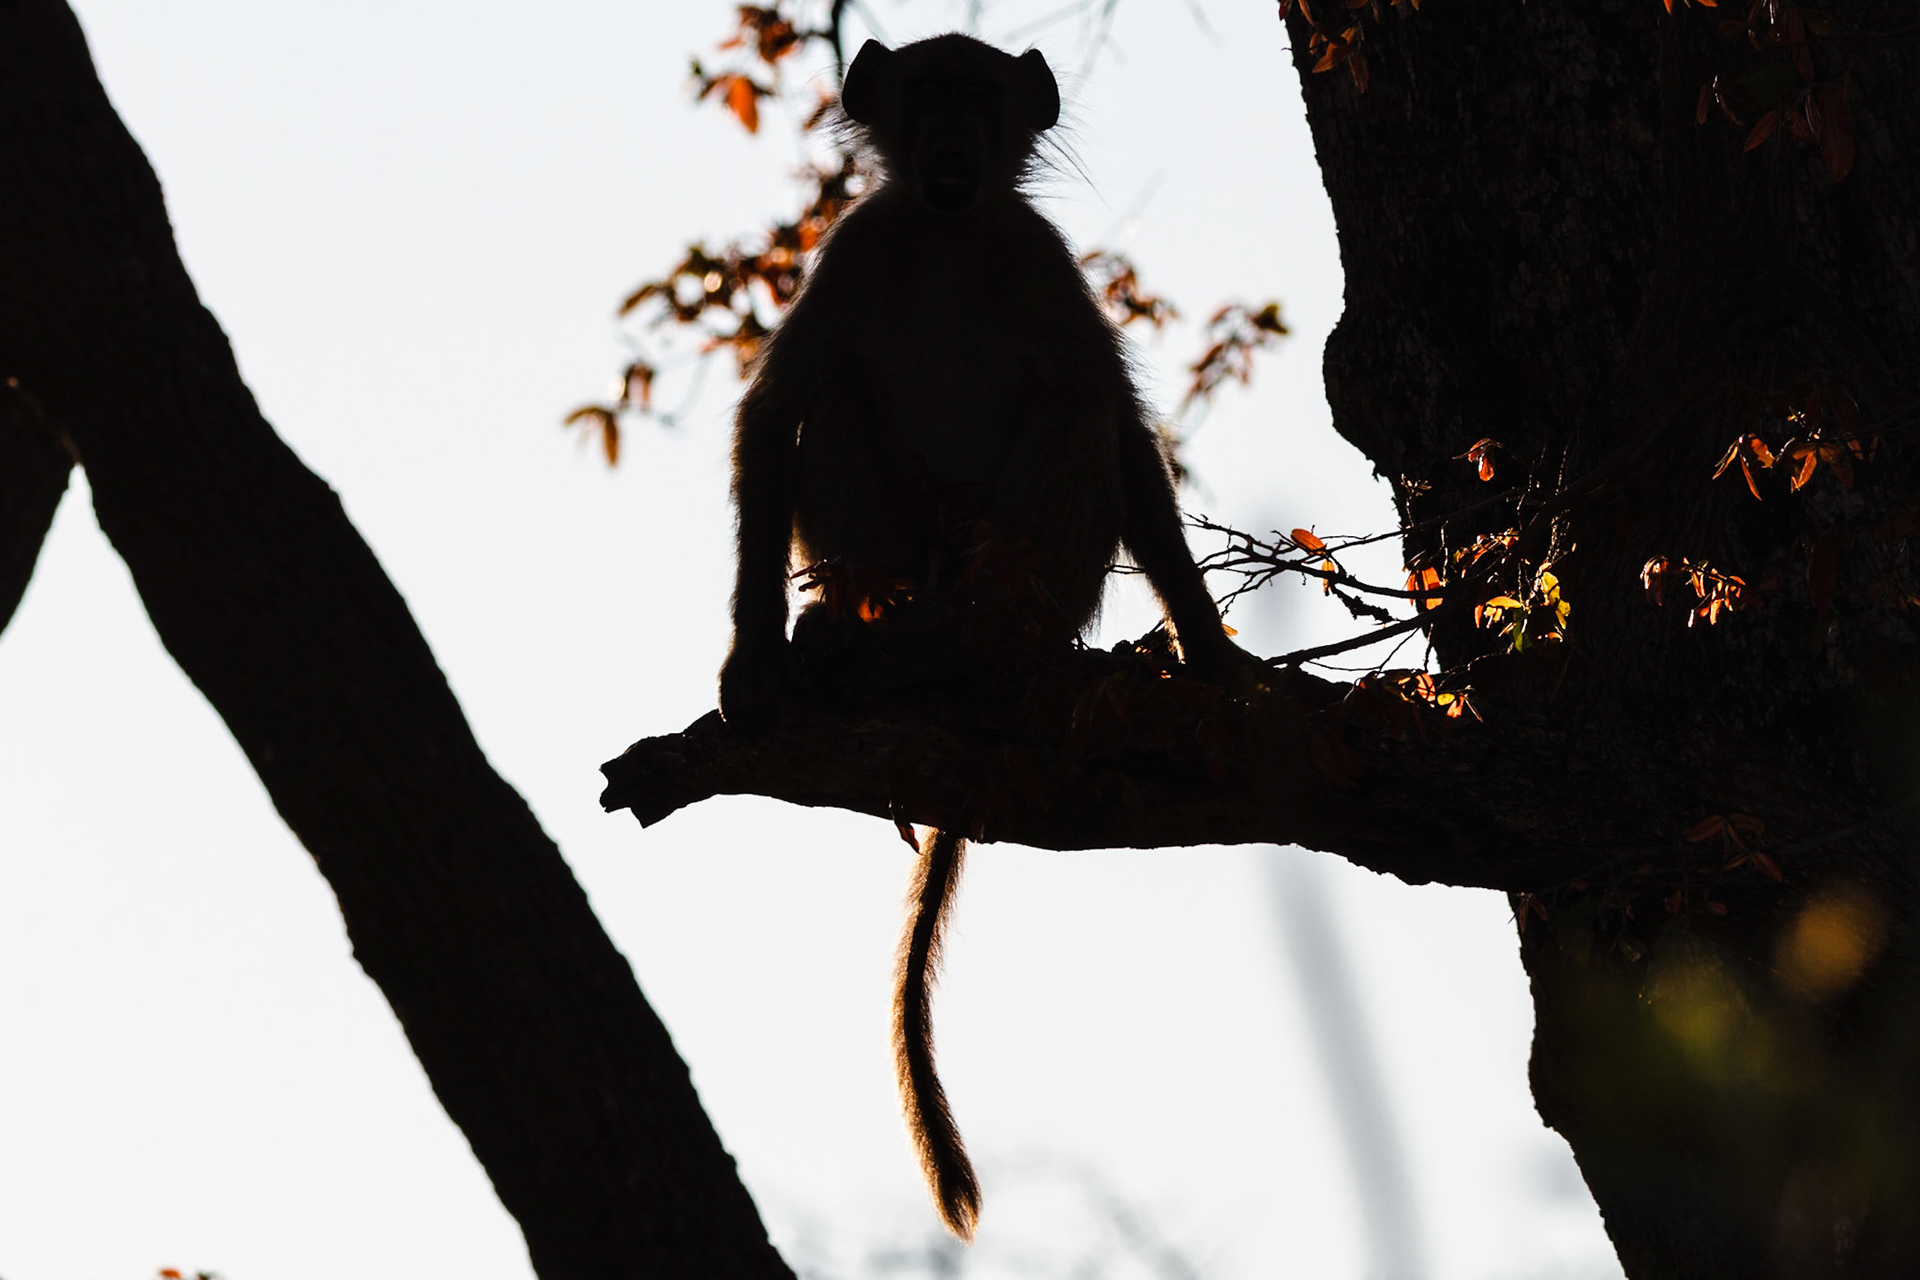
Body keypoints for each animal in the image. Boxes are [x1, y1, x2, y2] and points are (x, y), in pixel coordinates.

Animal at [718, 33, 1254, 1240]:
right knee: (837, 406)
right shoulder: (858, 249)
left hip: (1032, 577)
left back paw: (964, 647)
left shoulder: (1035, 256)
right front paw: (752, 657)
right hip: (902, 560)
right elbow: (775, 416)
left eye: (977, 94)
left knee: (1074, 412)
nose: (955, 143)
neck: (952, 237)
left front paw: (1211, 648)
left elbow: (1120, 430)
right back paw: (852, 639)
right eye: (929, 93)